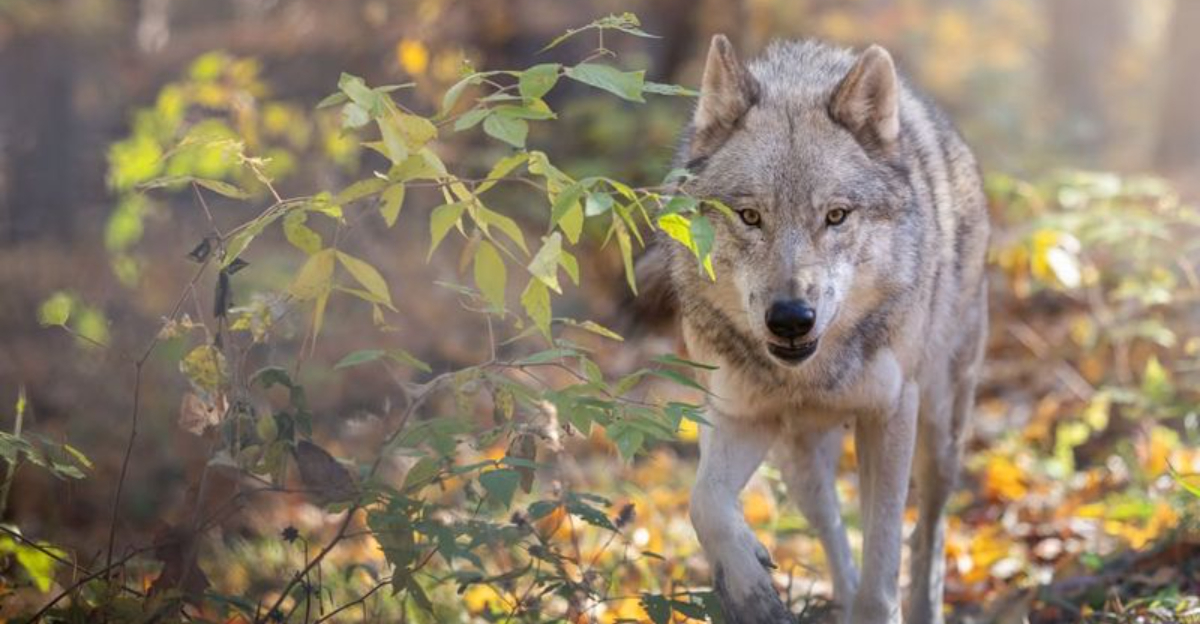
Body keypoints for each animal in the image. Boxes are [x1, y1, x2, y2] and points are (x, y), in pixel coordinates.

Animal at [642, 35, 989, 624]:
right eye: (750, 217)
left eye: (836, 216)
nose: (790, 318)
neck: (811, 376)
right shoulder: (738, 415)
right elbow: (704, 503)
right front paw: (751, 592)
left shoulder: (891, 415)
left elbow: (883, 561)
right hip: (799, 462)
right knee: (831, 530)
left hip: (940, 433)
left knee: (927, 533)